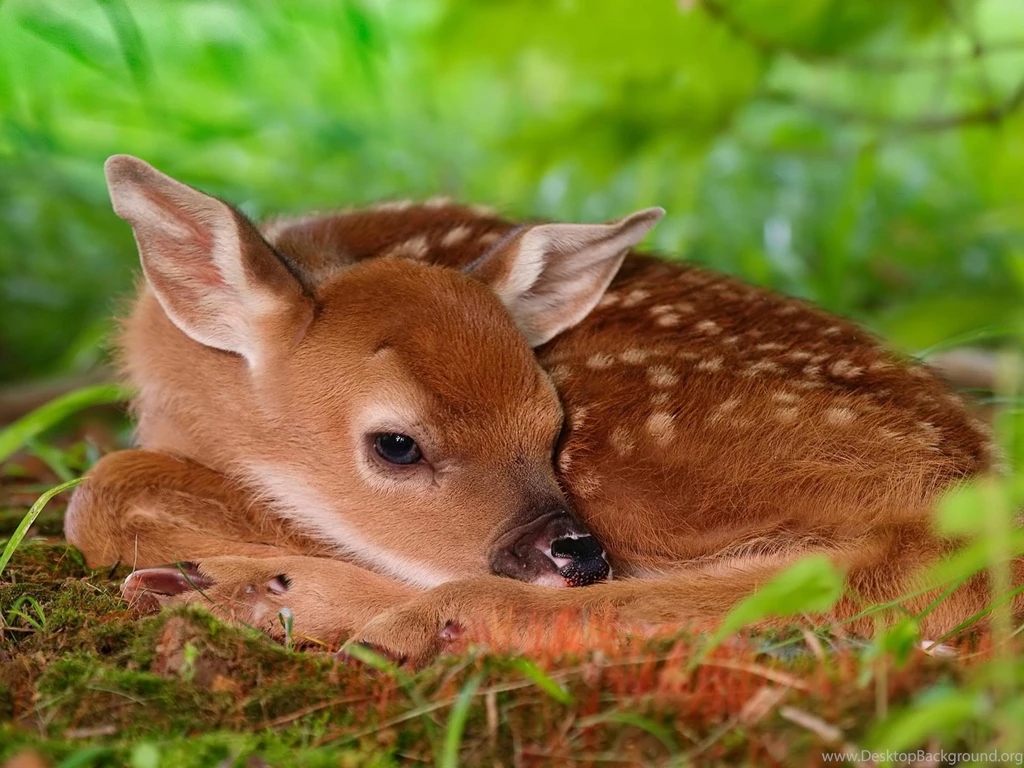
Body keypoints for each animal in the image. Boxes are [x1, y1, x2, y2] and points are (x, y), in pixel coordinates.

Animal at [63, 154, 1010, 665]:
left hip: (645, 465)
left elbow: (100, 496)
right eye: (397, 445)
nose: (575, 553)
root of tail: (965, 501)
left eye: (548, 426)